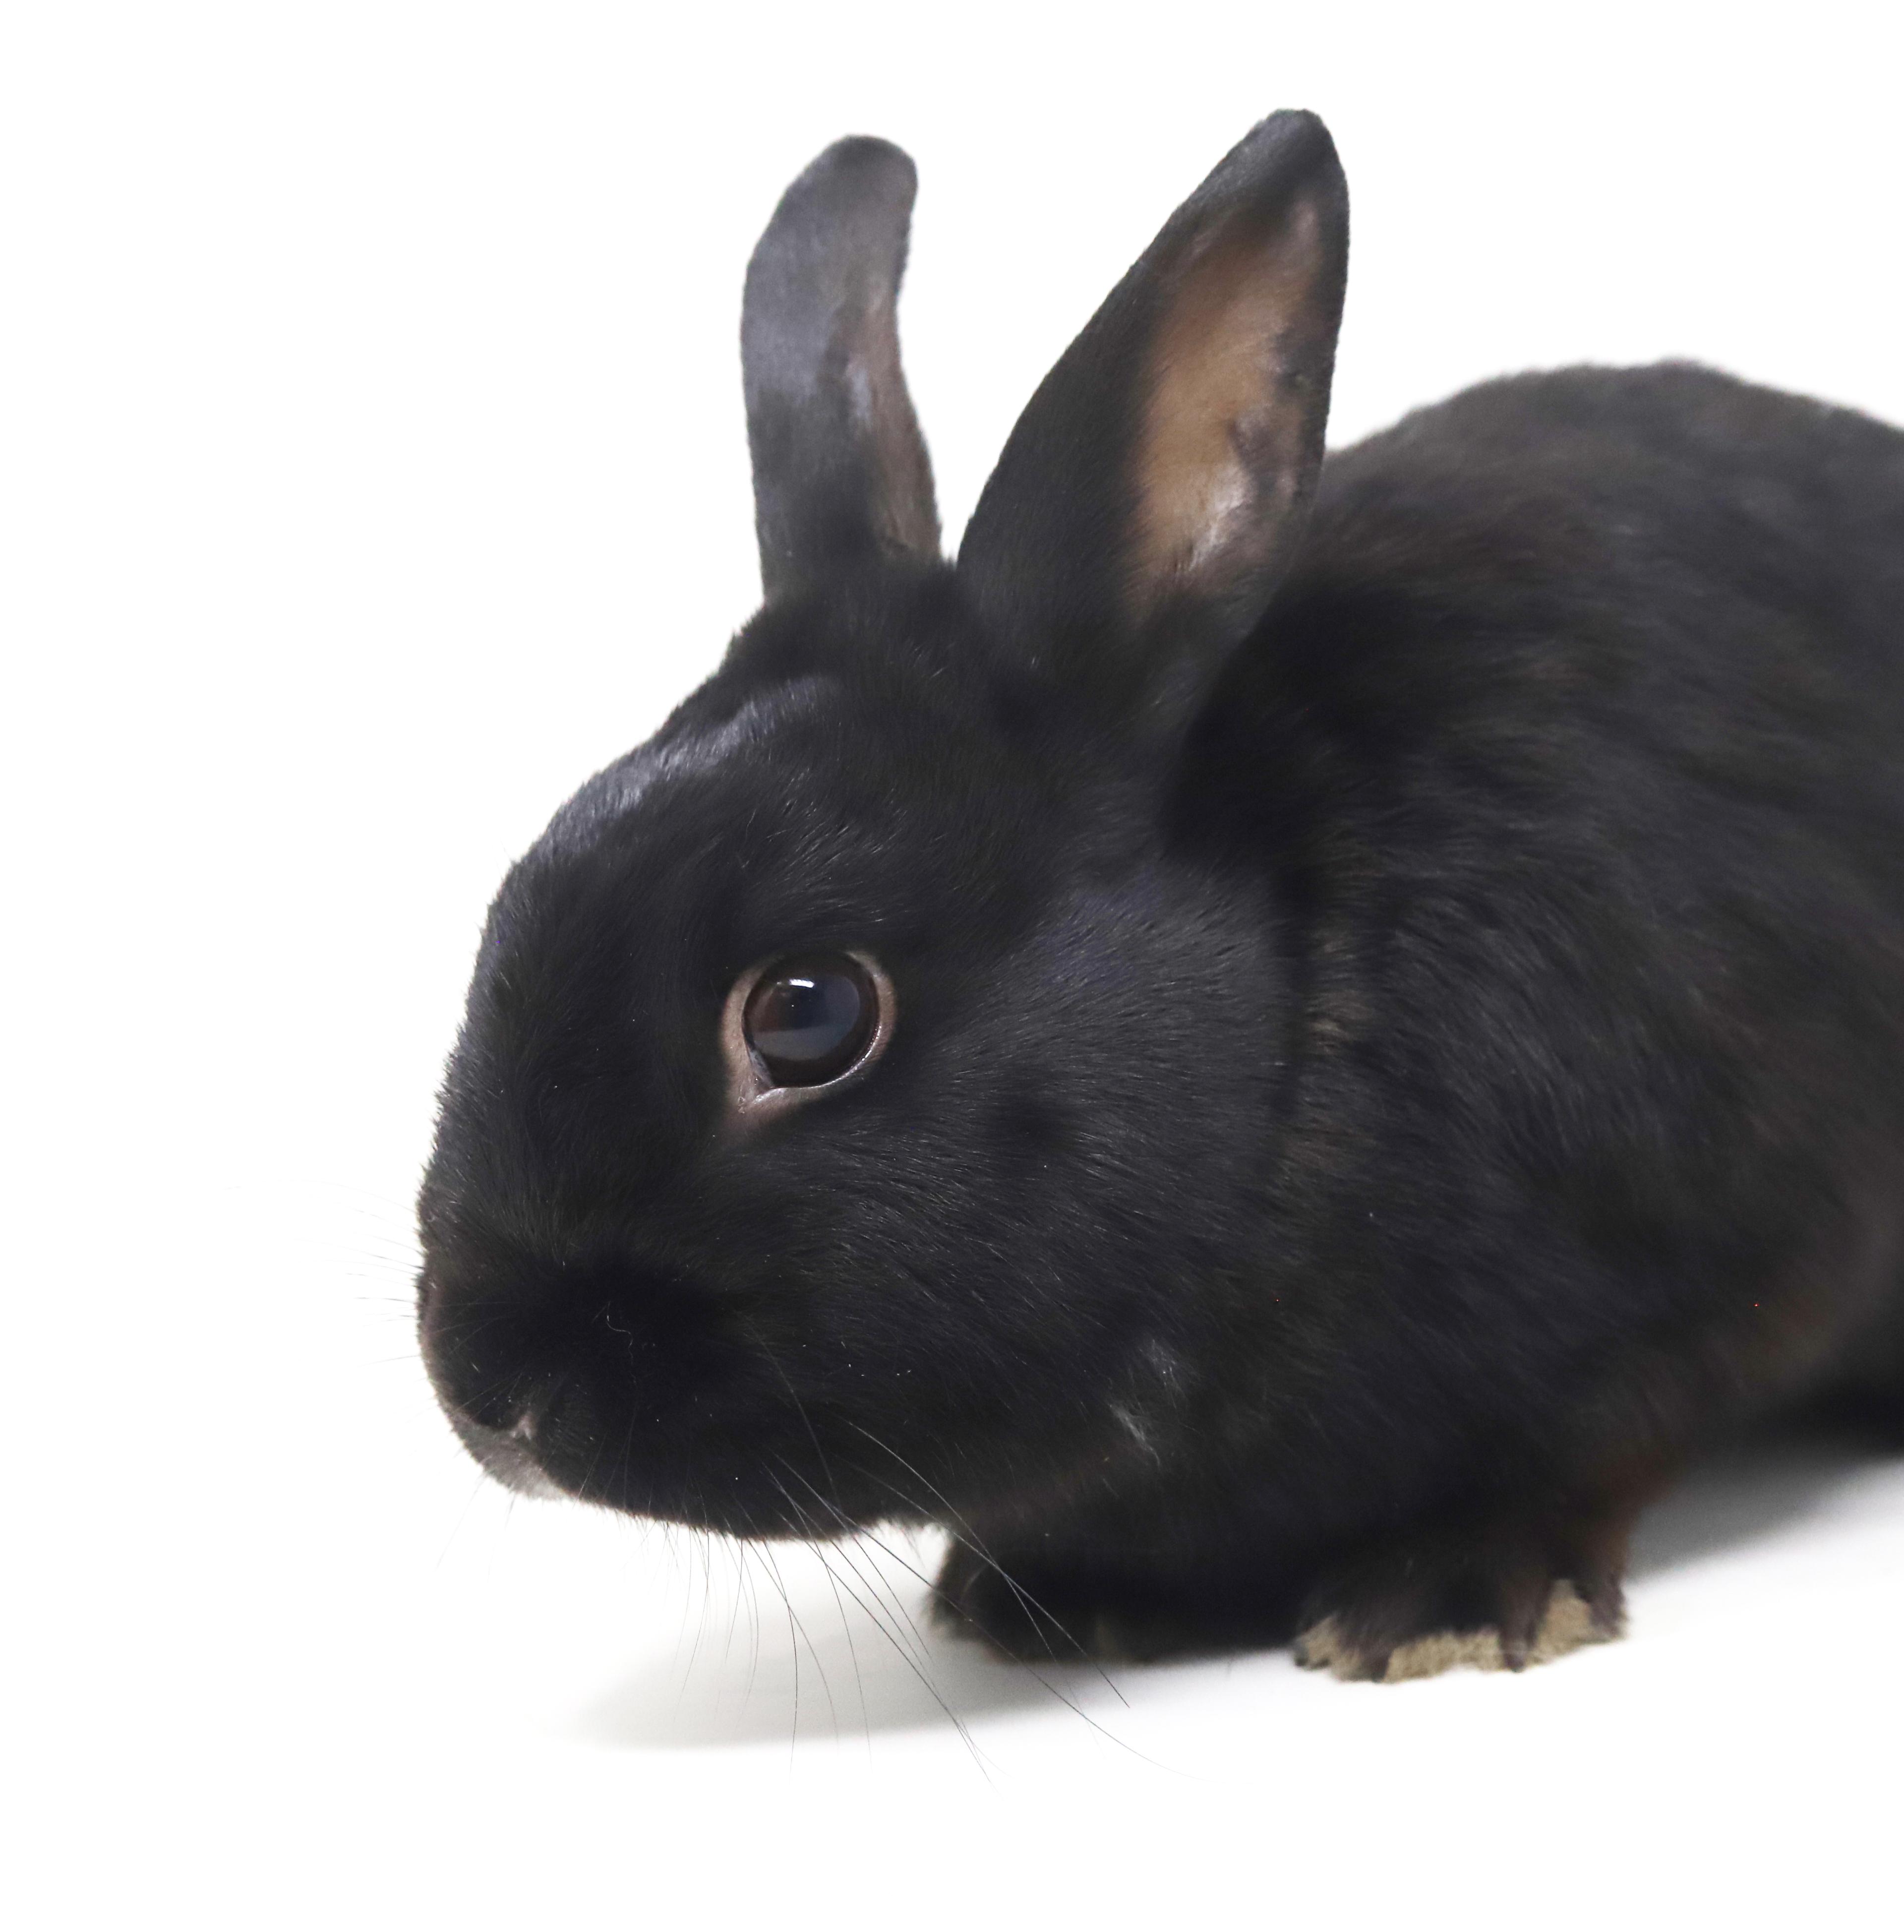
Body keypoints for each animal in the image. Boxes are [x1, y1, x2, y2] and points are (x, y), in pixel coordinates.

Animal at [416, 111, 1904, 1683]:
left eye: (808, 1016)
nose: (495, 1394)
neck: (1297, 1017)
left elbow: (1601, 1441)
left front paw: (1439, 1602)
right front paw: (1043, 1596)